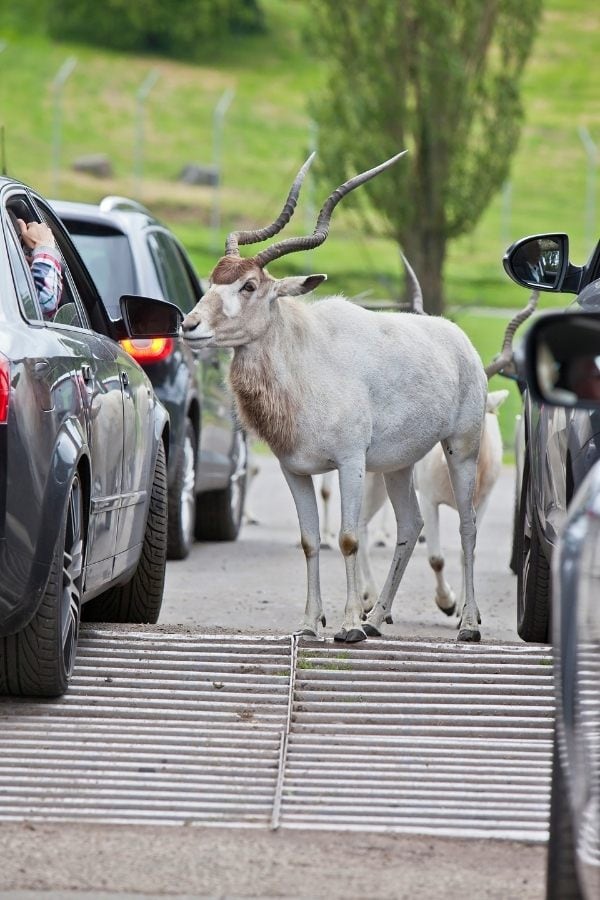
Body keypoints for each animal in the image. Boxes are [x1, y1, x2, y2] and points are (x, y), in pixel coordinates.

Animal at [182, 156, 488, 648]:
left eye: (248, 286)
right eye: (213, 280)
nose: (189, 325)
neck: (305, 360)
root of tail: (457, 336)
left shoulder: (350, 462)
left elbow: (347, 537)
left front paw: (346, 626)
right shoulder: (294, 470)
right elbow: (310, 541)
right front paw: (311, 624)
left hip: (462, 447)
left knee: (466, 524)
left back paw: (467, 624)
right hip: (399, 465)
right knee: (411, 525)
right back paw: (376, 617)